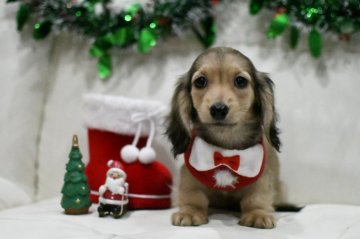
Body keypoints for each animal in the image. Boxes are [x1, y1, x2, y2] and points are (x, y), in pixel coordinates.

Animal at [165, 46, 282, 228]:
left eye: (240, 81)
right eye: (200, 81)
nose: (218, 109)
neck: (225, 148)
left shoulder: (263, 175)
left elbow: (256, 196)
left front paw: (257, 214)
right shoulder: (190, 173)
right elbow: (193, 194)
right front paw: (190, 211)